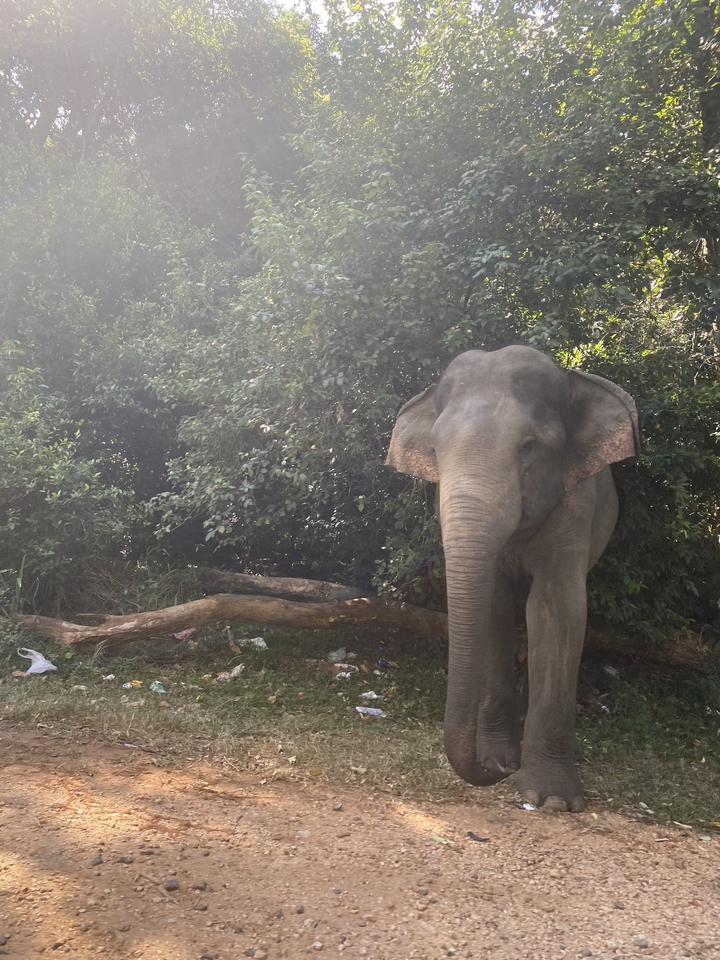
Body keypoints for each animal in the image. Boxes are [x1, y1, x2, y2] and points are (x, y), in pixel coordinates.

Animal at [386, 345, 639, 811]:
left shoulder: (575, 507)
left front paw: (552, 800)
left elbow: (557, 610)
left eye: (528, 446)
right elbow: (492, 608)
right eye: (434, 448)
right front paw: (497, 759)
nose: (501, 771)